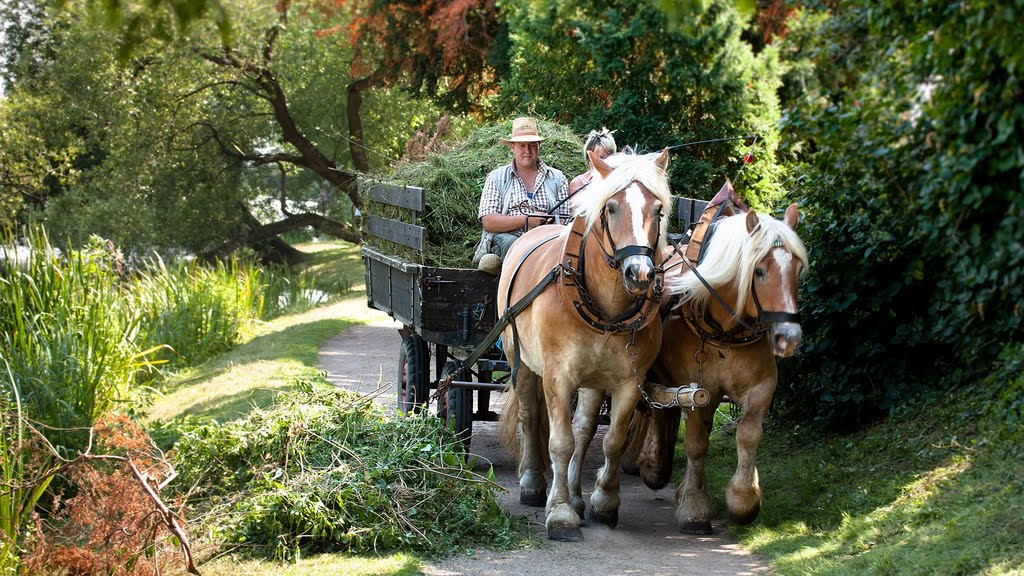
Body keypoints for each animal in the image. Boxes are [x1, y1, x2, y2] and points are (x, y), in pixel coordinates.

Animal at [493, 146, 671, 537]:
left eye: (658, 210)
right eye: (611, 207)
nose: (639, 273)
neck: (607, 311)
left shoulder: (628, 382)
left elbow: (611, 440)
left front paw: (602, 502)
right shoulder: (557, 377)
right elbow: (560, 442)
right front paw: (559, 512)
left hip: (593, 379)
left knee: (585, 429)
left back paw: (576, 495)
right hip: (521, 362)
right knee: (531, 417)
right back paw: (533, 484)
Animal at [618, 203, 811, 532]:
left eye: (797, 269)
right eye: (759, 271)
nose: (789, 338)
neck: (724, 331)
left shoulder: (761, 388)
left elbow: (748, 435)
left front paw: (743, 500)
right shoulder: (697, 393)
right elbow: (696, 444)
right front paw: (695, 509)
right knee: (655, 413)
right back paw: (651, 465)